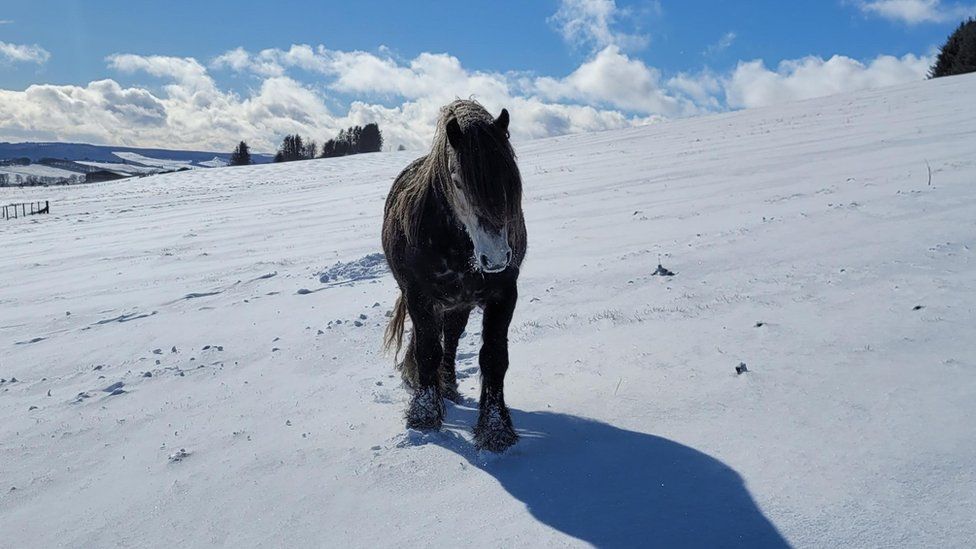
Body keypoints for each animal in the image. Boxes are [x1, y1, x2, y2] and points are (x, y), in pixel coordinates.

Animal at [382, 99, 528, 450]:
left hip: (459, 305)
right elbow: (426, 351)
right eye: (458, 181)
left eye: (510, 181)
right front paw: (423, 416)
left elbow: (494, 357)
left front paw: (495, 429)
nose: (496, 258)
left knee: (451, 340)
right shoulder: (419, 297)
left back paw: (448, 387)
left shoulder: (504, 295)